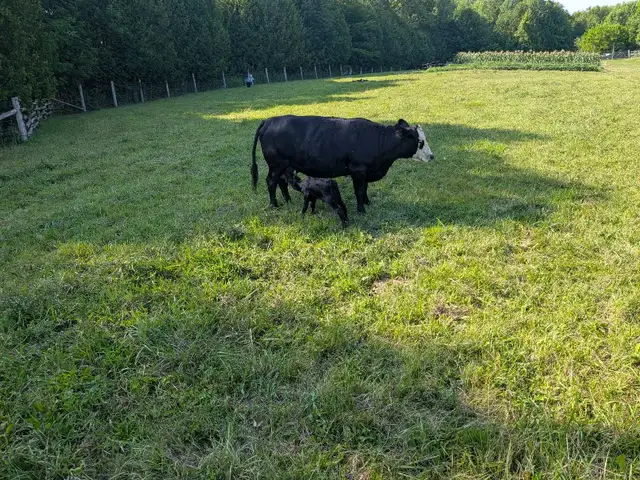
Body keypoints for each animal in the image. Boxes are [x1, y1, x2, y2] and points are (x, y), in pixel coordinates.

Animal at [251, 115, 434, 213]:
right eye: (420, 142)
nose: (432, 156)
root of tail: (271, 119)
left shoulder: (365, 172)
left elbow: (364, 189)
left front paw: (368, 203)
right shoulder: (358, 170)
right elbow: (359, 190)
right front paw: (361, 210)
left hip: (285, 165)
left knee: (282, 182)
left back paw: (288, 201)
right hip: (276, 164)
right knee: (271, 182)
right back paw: (274, 204)